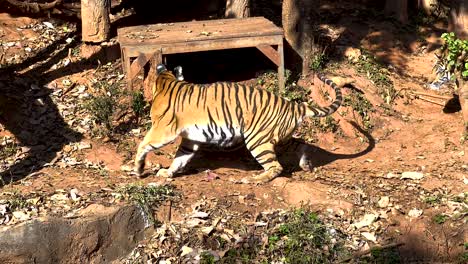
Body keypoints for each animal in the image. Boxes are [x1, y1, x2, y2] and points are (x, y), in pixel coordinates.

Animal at [133, 64, 342, 184]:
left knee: (276, 167)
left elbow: (143, 144)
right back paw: (306, 164)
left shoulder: (163, 130)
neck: (166, 82)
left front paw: (138, 169)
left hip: (257, 140)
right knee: (301, 144)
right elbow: (180, 158)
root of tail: (293, 106)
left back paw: (255, 179)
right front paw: (168, 173)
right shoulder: (191, 140)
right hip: (282, 137)